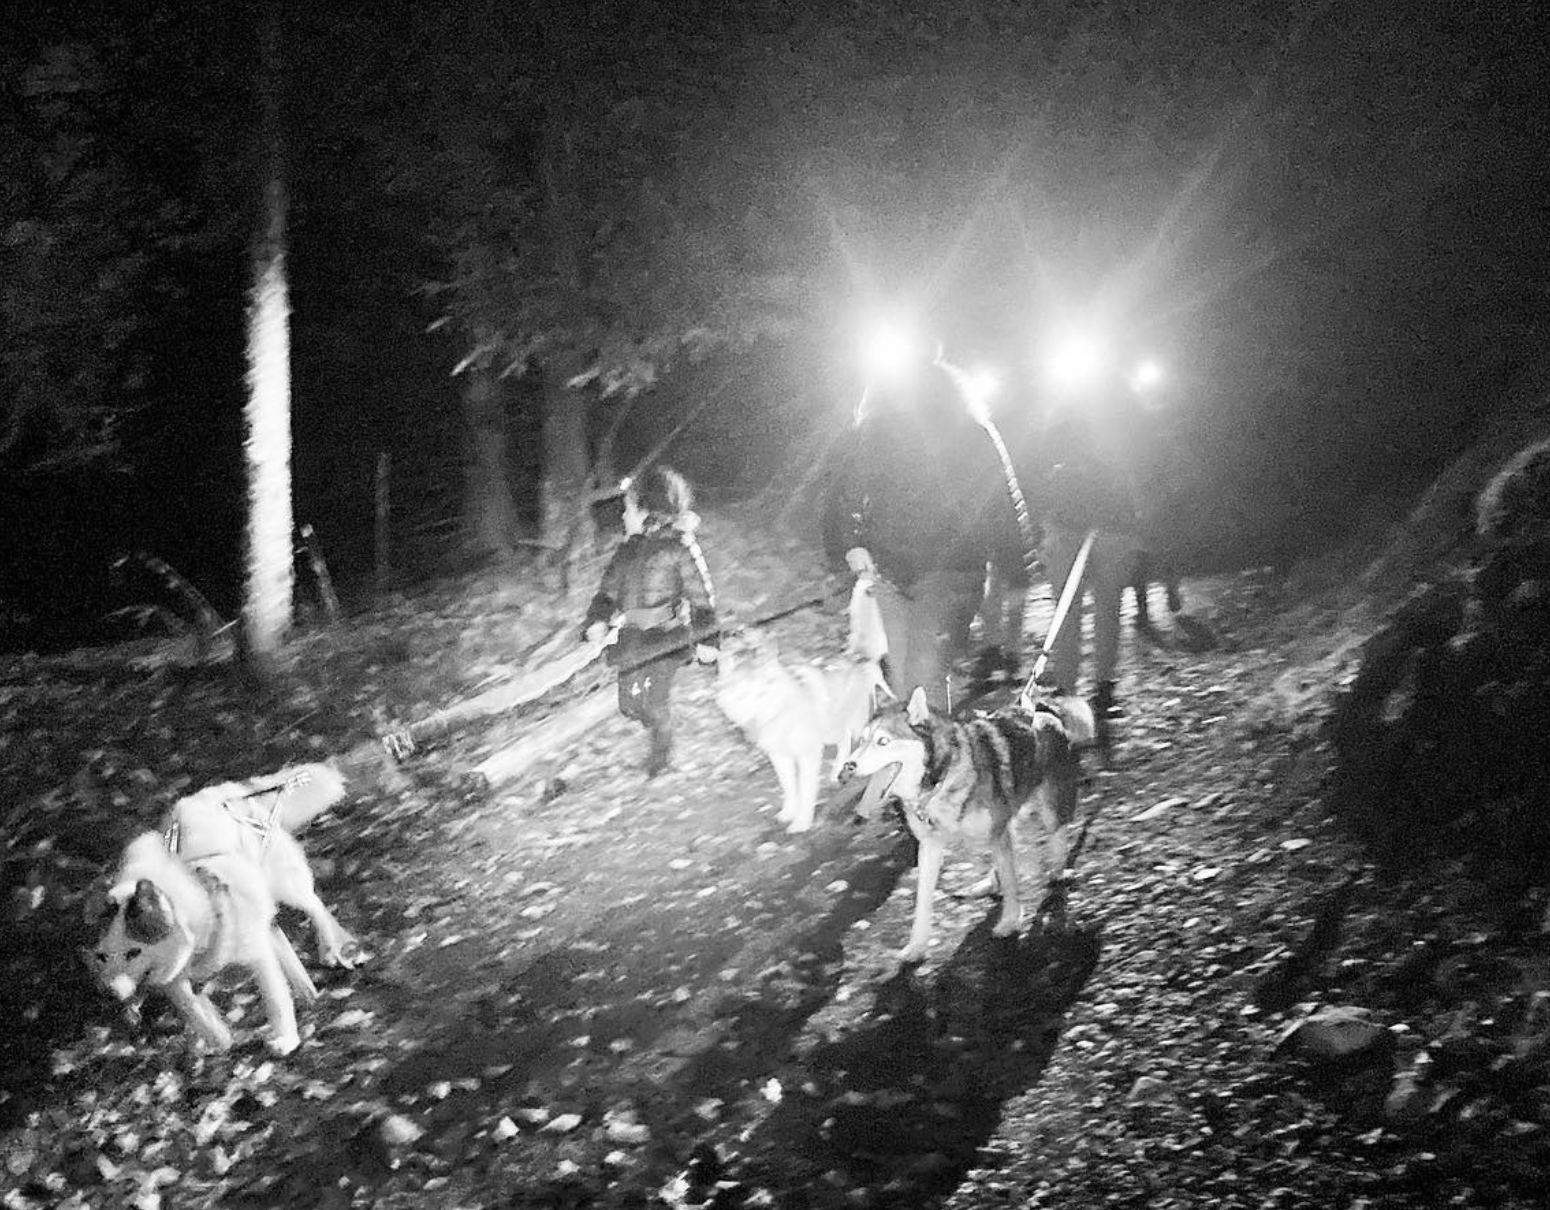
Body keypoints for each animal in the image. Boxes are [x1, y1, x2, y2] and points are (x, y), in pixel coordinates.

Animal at [83, 830, 319, 1047]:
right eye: (102, 956)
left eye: (134, 952)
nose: (109, 993)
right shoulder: (176, 982)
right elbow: (197, 1013)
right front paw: (220, 1042)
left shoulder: (258, 956)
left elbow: (275, 998)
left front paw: (285, 1039)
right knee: (277, 934)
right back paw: (306, 989)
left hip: (288, 887)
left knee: (313, 907)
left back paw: (328, 949)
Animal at [713, 622, 886, 830]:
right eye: (742, 696)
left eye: (761, 695)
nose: (751, 728)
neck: (781, 714)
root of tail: (857, 657)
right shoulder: (779, 756)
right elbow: (789, 787)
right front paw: (788, 813)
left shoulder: (808, 754)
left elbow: (805, 789)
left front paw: (802, 822)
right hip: (832, 728)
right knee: (843, 742)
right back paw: (836, 773)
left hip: (855, 725)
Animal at [843, 684, 1097, 960]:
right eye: (860, 741)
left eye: (883, 741)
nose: (848, 766)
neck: (940, 782)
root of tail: (1040, 708)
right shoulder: (929, 847)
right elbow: (922, 901)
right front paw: (916, 945)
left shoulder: (997, 833)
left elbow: (1011, 881)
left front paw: (1010, 921)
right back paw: (991, 883)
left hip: (1051, 805)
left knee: (1057, 836)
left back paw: (1058, 871)